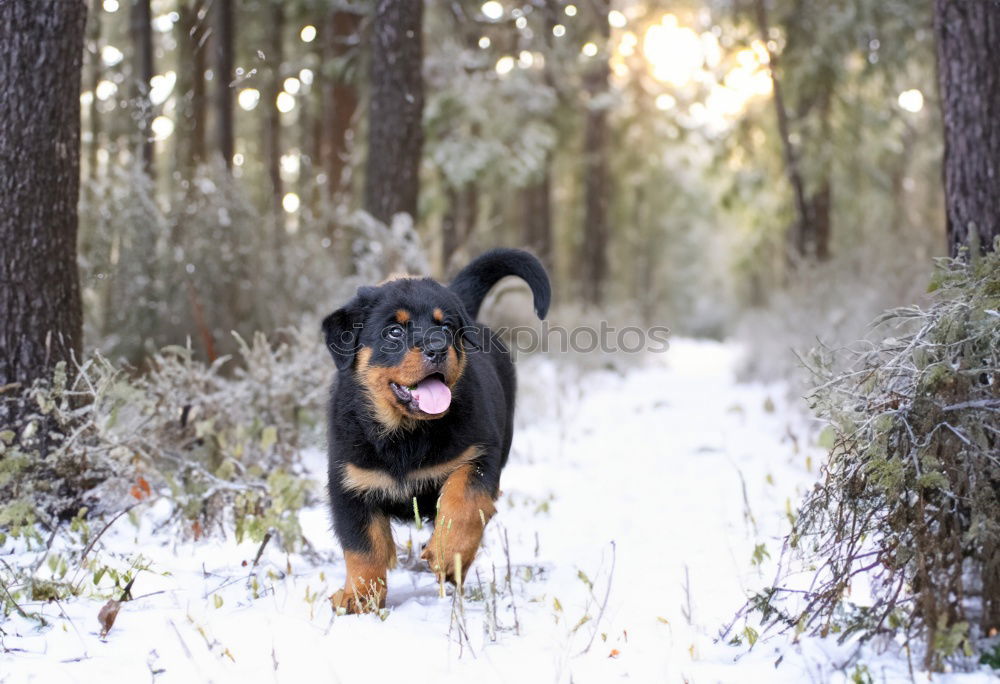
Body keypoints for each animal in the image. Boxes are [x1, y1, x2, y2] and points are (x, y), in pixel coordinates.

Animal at [322, 248, 552, 612]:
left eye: (445, 326)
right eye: (394, 332)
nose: (438, 347)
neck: (406, 434)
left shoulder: (478, 457)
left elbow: (463, 504)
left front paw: (447, 553)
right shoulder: (349, 483)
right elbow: (363, 546)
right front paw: (358, 597)